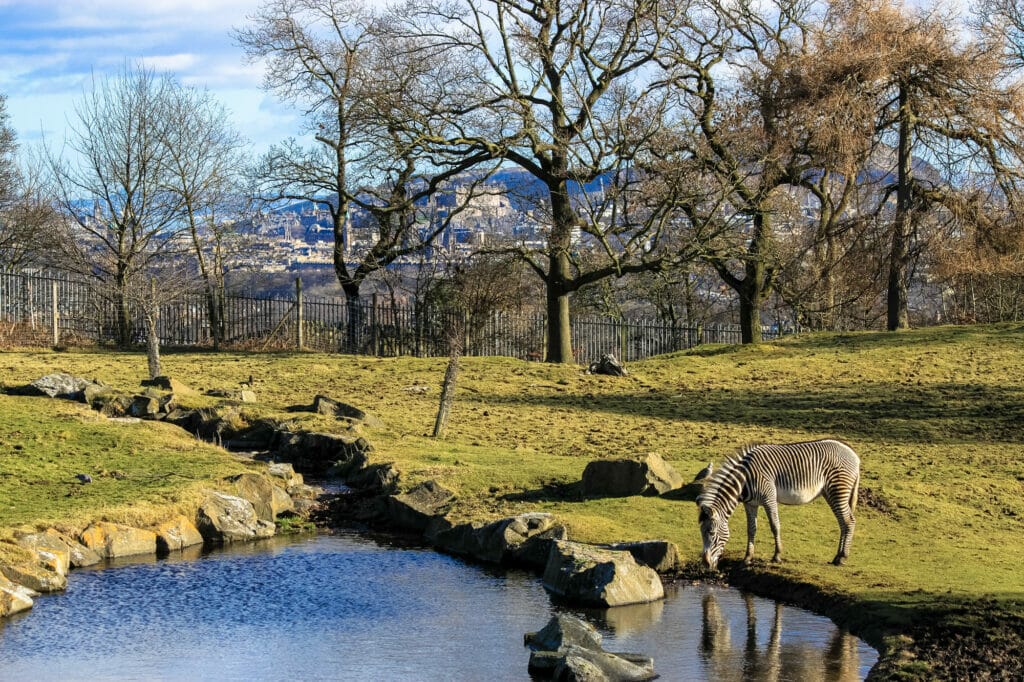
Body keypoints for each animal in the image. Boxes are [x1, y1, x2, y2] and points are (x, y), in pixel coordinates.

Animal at [696, 436, 864, 569]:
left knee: (849, 521)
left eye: (711, 533)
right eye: (701, 532)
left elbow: (775, 525)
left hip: (838, 490)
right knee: (843, 522)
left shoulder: (769, 498)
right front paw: (747, 558)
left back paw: (842, 557)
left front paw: (777, 555)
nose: (705, 563)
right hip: (830, 493)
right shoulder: (750, 503)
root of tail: (853, 453)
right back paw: (837, 556)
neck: (744, 480)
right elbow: (751, 529)